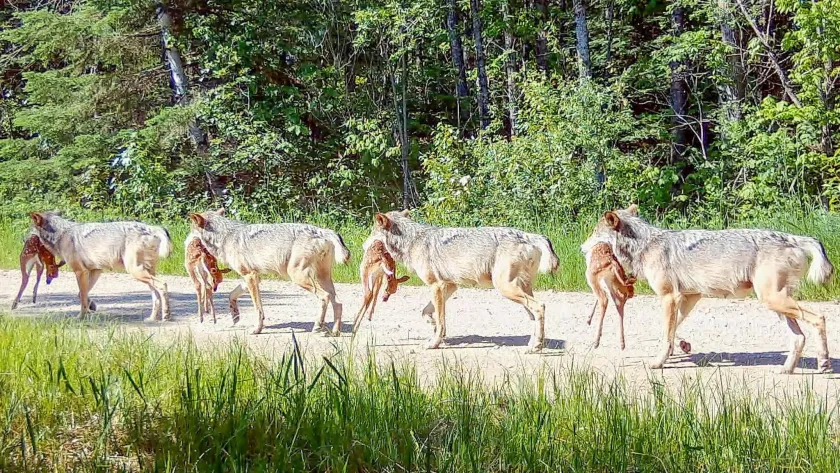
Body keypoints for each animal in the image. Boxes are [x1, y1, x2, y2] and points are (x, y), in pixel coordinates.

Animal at [29, 212, 173, 320]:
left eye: (31, 231)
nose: (24, 238)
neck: (61, 234)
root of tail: (154, 228)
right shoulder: (96, 271)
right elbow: (81, 294)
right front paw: (91, 307)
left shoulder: (80, 272)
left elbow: (82, 297)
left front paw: (81, 317)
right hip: (146, 274)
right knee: (156, 296)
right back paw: (152, 318)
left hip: (136, 272)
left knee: (163, 285)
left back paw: (166, 315)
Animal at [188, 209, 350, 335]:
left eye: (191, 230)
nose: (186, 240)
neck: (225, 236)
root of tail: (324, 231)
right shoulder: (252, 277)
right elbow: (231, 295)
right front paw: (235, 315)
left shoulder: (250, 277)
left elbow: (258, 309)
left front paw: (257, 329)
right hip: (322, 278)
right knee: (338, 303)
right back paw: (335, 332)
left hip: (299, 277)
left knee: (325, 297)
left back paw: (318, 326)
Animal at [365, 210, 560, 352]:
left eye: (371, 233)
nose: (363, 245)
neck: (412, 240)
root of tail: (531, 236)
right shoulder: (450, 286)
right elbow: (427, 312)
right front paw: (432, 325)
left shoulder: (436, 286)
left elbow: (441, 320)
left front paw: (433, 343)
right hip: (520, 291)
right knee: (534, 315)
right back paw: (534, 344)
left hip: (506, 289)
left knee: (540, 307)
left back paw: (536, 347)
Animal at [584, 204, 834, 373]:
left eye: (594, 233)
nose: (581, 248)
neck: (645, 245)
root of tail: (792, 237)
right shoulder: (689, 297)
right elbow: (670, 331)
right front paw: (678, 349)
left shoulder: (669, 297)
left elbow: (666, 334)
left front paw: (658, 362)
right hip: (776, 305)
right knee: (799, 338)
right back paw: (787, 369)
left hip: (773, 301)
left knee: (820, 318)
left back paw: (824, 362)